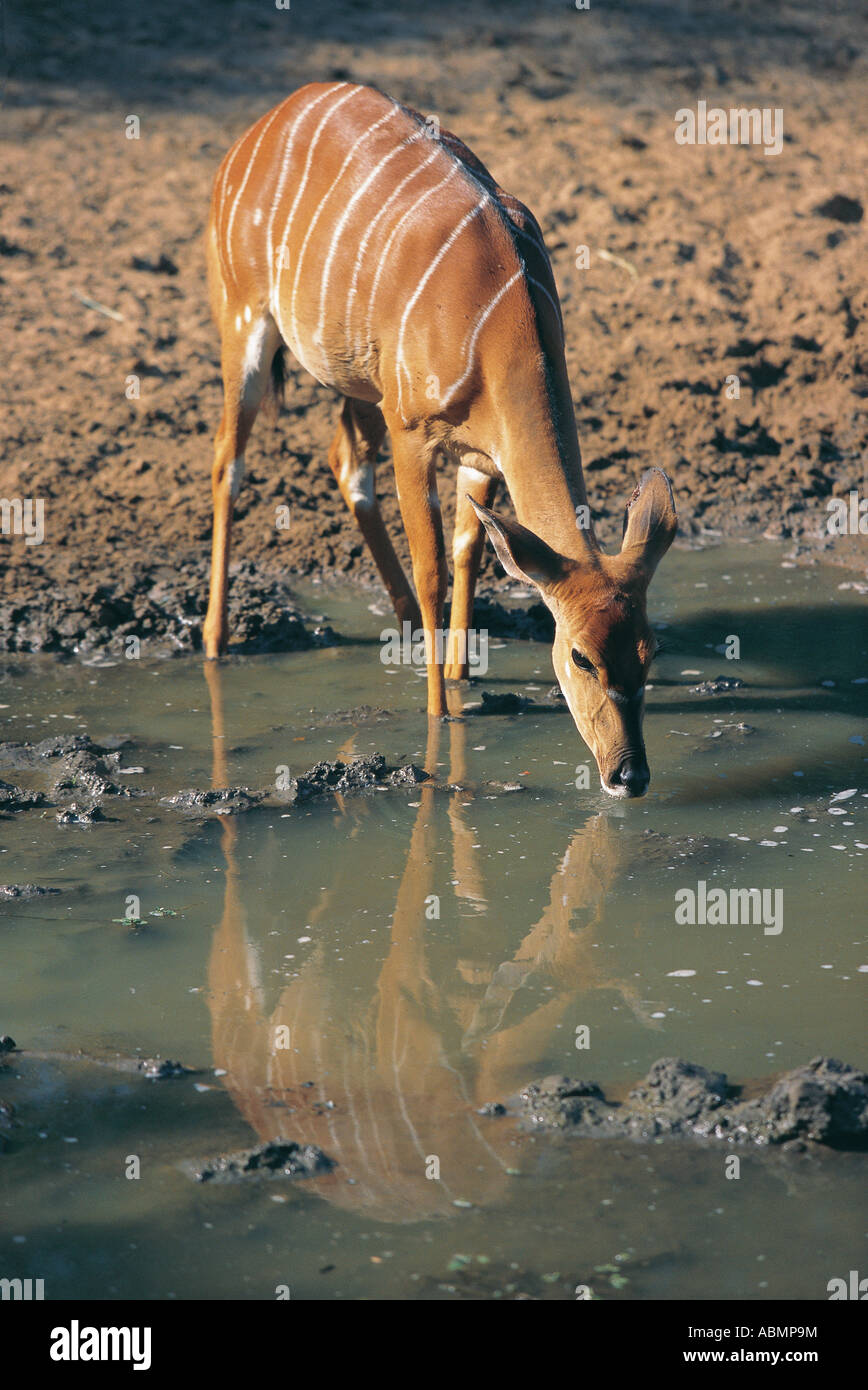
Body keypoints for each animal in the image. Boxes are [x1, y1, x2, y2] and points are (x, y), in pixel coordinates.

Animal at [204, 81, 678, 800]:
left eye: (649, 652)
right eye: (580, 656)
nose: (630, 774)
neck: (500, 319)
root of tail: (259, 128)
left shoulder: (482, 453)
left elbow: (470, 550)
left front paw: (459, 674)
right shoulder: (413, 434)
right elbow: (434, 569)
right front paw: (438, 713)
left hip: (358, 382)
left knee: (343, 459)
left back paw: (397, 621)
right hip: (245, 323)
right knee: (227, 463)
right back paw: (215, 641)